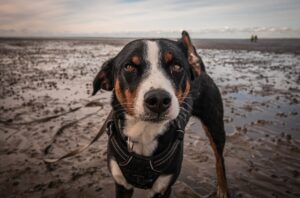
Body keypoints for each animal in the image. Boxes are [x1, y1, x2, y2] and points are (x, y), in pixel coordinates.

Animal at [92, 30, 229, 197]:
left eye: (177, 66)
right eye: (129, 67)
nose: (158, 99)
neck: (144, 133)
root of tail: (200, 70)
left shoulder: (163, 187)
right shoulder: (122, 184)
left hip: (215, 124)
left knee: (220, 159)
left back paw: (223, 188)